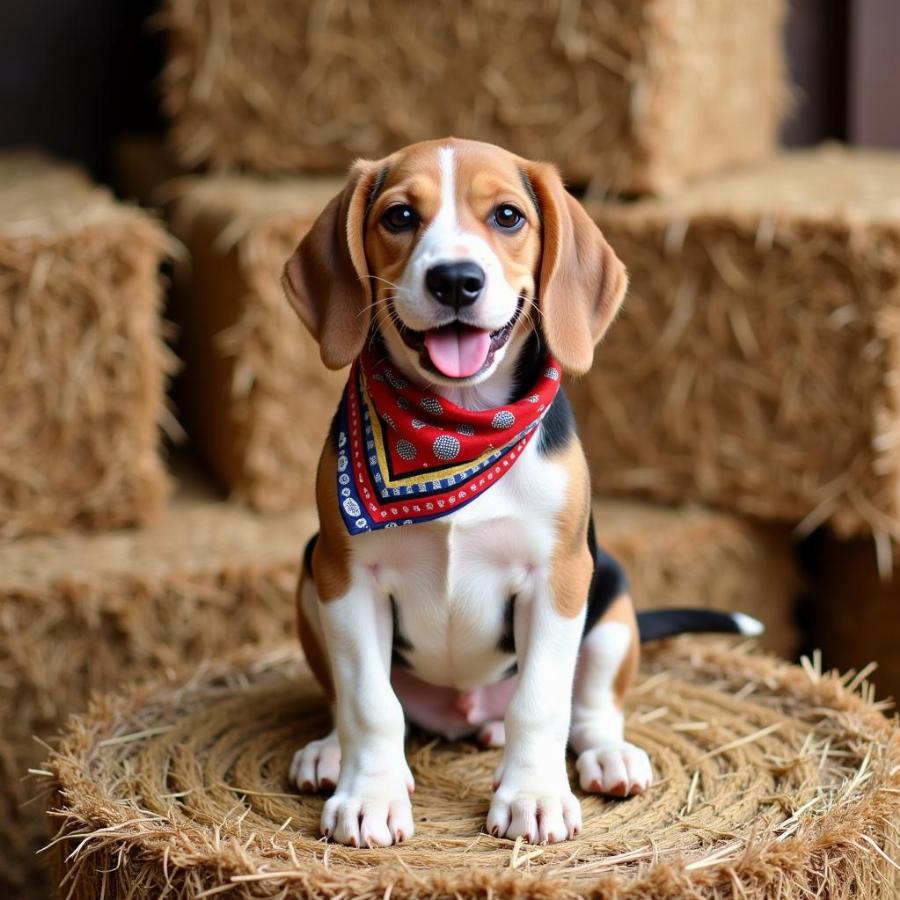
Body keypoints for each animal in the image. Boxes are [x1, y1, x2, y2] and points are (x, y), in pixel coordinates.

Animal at [282, 137, 760, 848]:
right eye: (399, 216)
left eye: (507, 216)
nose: (456, 279)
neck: (455, 427)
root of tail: (465, 712)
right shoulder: (346, 575)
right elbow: (369, 703)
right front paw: (369, 794)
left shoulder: (557, 578)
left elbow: (541, 702)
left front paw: (533, 794)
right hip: (309, 578)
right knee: (351, 700)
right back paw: (330, 753)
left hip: (610, 597)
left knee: (589, 708)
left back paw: (607, 755)